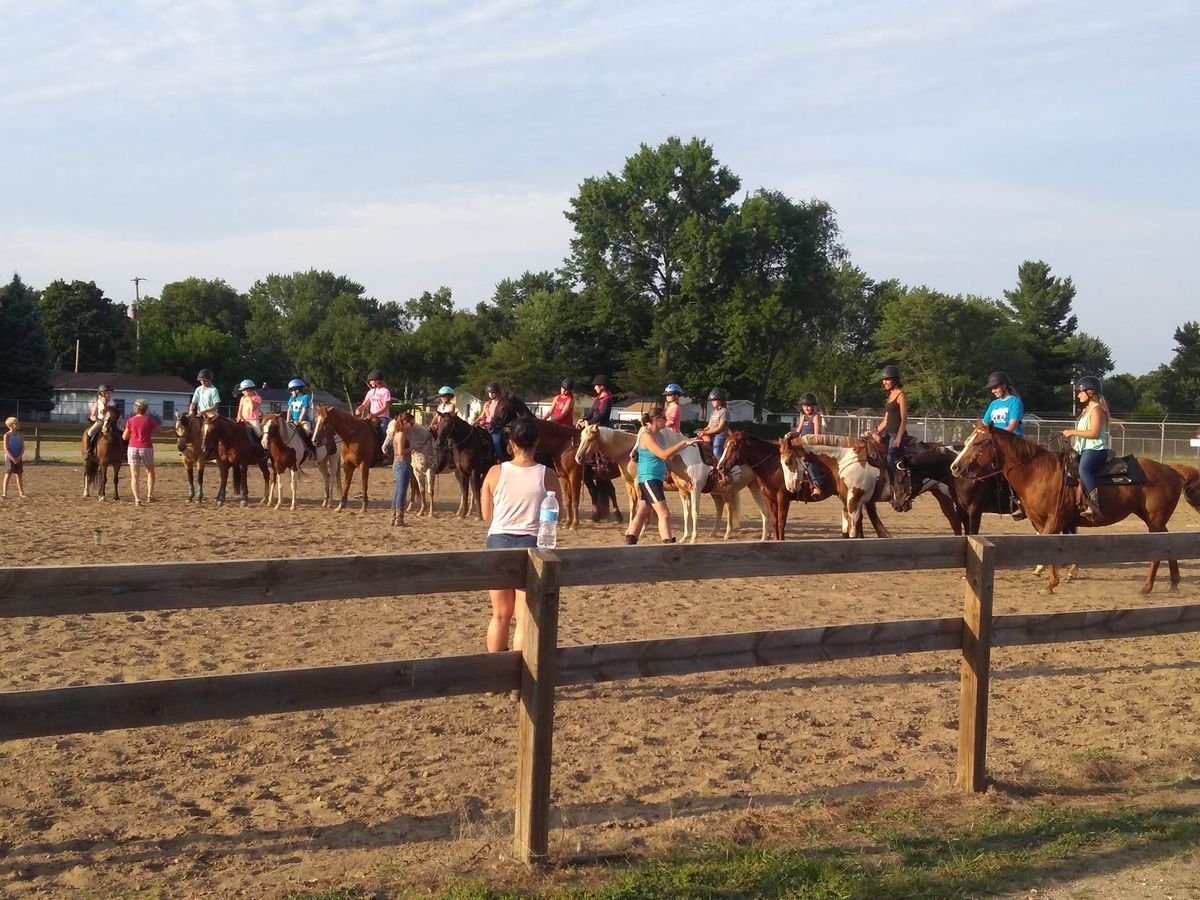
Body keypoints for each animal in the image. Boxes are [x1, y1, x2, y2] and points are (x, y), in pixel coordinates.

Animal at [945, 424, 1200, 595]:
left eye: (978, 443)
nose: (954, 467)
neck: (1037, 472)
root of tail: (1173, 470)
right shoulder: (1041, 521)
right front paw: (1063, 573)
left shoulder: (1055, 519)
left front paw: (1052, 583)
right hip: (1153, 520)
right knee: (1170, 545)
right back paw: (1174, 584)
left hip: (1154, 521)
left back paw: (1147, 588)